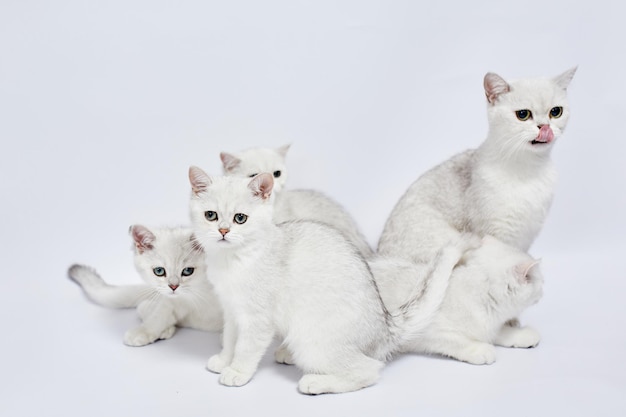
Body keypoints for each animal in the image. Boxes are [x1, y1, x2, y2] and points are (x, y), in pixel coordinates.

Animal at [67, 224, 222, 344]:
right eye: (159, 271)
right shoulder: (174, 299)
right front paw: (145, 331)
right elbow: (161, 312)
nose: (173, 286)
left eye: (188, 271)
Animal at [188, 167, 470, 394]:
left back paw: (316, 382)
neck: (232, 260)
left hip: (310, 339)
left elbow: (246, 348)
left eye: (240, 218)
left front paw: (237, 371)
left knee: (369, 369)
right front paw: (224, 360)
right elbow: (230, 339)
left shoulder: (257, 319)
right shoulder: (232, 310)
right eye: (211, 215)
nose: (223, 231)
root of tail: (385, 326)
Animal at [370, 237, 540, 364]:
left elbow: (498, 332)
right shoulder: (425, 331)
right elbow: (456, 341)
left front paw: (521, 335)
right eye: (541, 280)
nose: (542, 290)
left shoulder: (489, 327)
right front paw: (480, 350)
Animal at [376, 66, 576, 262]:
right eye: (523, 115)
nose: (545, 127)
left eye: (555, 112)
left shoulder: (526, 236)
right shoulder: (498, 235)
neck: (529, 169)